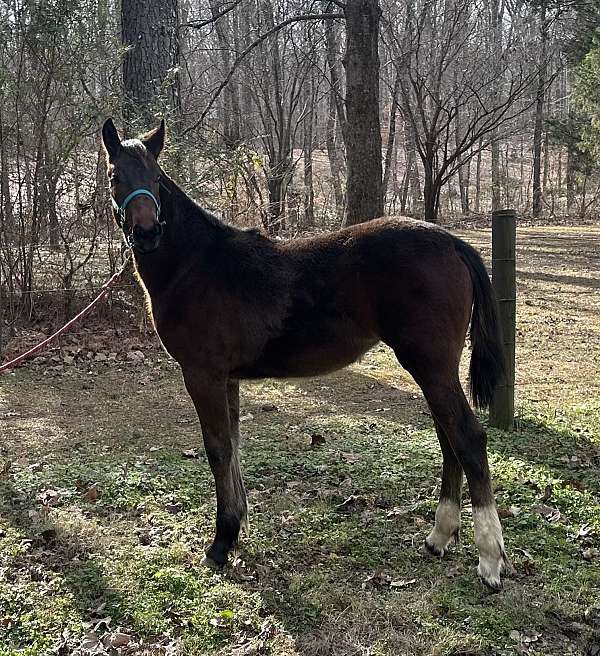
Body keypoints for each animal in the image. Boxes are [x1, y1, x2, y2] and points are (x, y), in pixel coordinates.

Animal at [101, 118, 508, 588]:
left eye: (155, 177)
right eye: (115, 175)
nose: (148, 233)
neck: (196, 265)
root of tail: (451, 242)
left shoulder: (202, 375)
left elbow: (218, 449)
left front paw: (221, 544)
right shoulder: (228, 378)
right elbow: (234, 445)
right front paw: (237, 526)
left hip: (429, 364)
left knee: (468, 438)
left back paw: (489, 558)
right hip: (433, 369)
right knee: (449, 438)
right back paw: (440, 536)